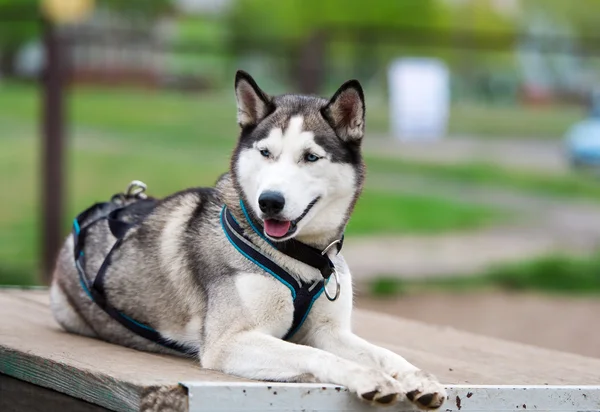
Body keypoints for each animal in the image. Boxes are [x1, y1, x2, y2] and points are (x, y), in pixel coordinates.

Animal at [50, 71, 446, 408]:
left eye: (311, 157)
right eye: (266, 153)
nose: (270, 201)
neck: (303, 257)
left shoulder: (330, 330)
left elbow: (384, 353)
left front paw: (418, 377)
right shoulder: (230, 342)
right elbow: (313, 353)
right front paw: (366, 376)